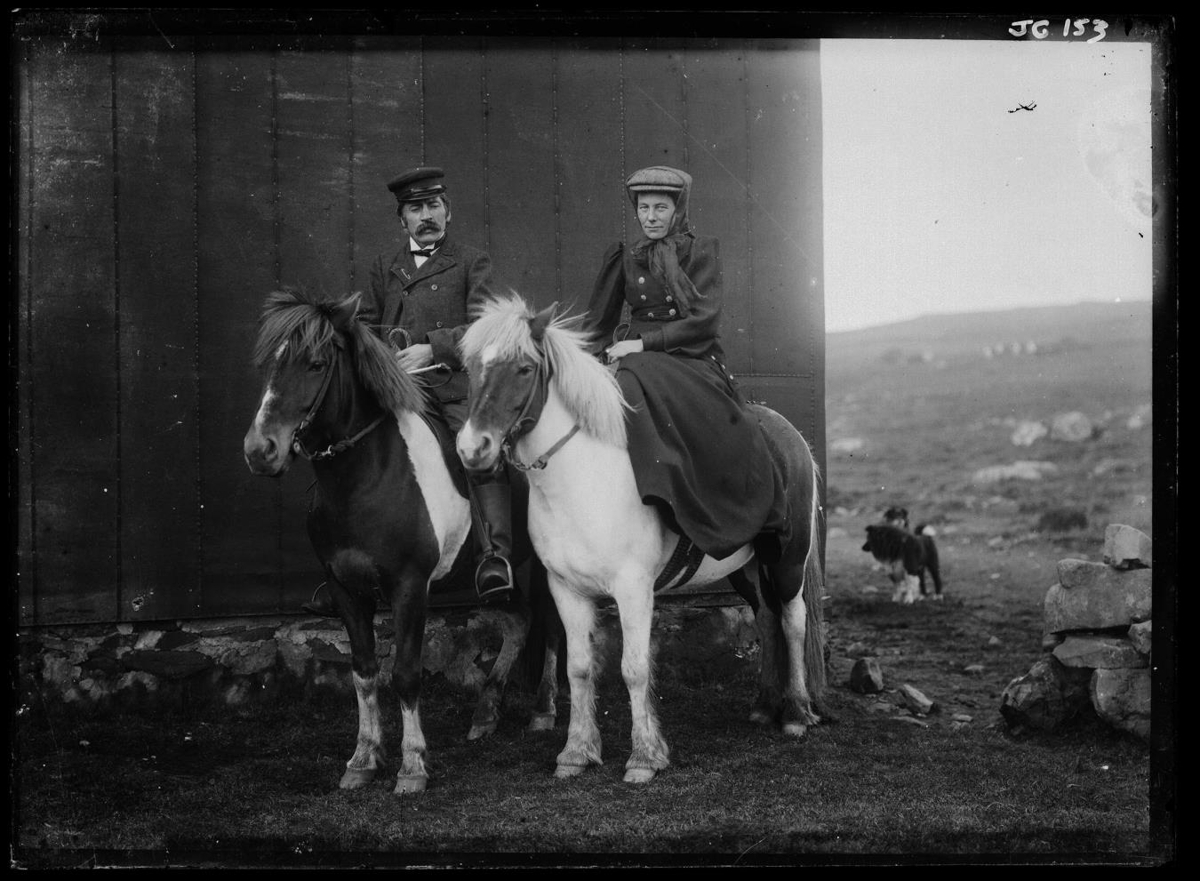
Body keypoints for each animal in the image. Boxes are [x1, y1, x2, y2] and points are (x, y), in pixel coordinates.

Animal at [242, 288, 560, 795]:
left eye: (315, 364)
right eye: (270, 363)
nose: (260, 451)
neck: (367, 478)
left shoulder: (409, 588)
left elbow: (406, 675)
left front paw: (412, 766)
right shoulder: (345, 589)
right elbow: (364, 672)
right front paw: (363, 758)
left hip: (545, 566)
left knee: (551, 626)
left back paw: (544, 710)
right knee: (518, 623)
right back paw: (485, 713)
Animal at [456, 294, 827, 785]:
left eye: (523, 368)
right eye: (471, 368)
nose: (471, 448)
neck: (581, 479)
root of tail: (790, 434)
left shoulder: (633, 589)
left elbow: (634, 669)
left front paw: (645, 757)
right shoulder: (566, 590)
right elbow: (578, 668)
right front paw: (575, 752)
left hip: (787, 557)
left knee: (792, 618)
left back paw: (797, 713)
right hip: (746, 565)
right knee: (766, 616)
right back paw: (765, 706)